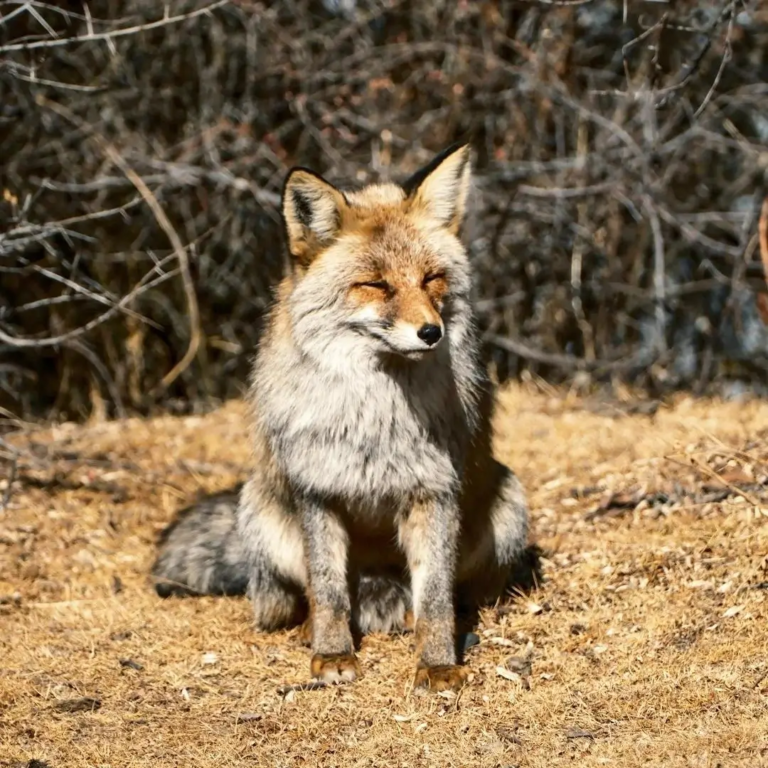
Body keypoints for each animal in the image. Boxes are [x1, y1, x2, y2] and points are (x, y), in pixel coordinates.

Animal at [151, 143, 529, 692]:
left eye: (431, 279)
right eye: (375, 285)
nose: (431, 332)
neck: (376, 417)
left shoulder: (435, 490)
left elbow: (436, 598)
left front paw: (438, 663)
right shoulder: (318, 489)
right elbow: (328, 591)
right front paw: (331, 654)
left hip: (508, 503)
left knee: (450, 596)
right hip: (261, 512)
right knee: (299, 600)